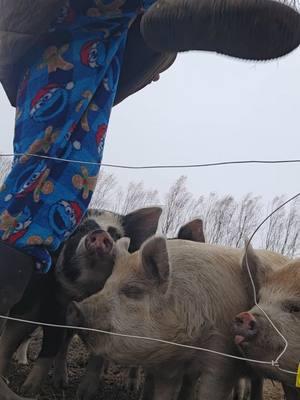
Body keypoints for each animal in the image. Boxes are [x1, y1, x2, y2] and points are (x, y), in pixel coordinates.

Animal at [0, 208, 162, 396]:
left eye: (116, 235)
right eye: (81, 230)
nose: (100, 234)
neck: (87, 292)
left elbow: (98, 355)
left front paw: (85, 393)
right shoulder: (54, 306)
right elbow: (52, 344)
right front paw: (28, 390)